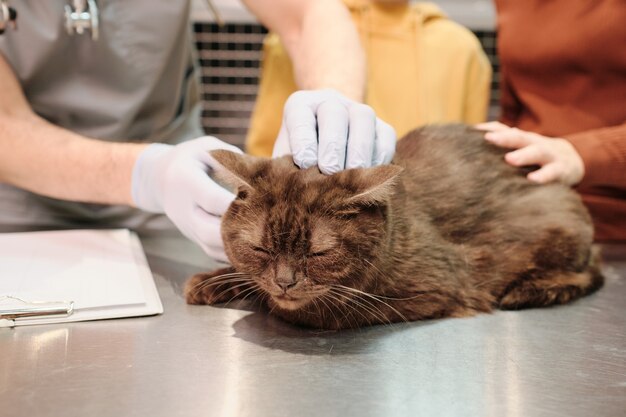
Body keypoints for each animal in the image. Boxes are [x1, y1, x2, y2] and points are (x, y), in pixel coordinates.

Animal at [183, 123, 604, 328]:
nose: (285, 282)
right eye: (260, 248)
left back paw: (529, 290)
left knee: (587, 274)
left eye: (319, 252)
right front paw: (212, 281)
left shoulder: (438, 286)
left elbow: (319, 313)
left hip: (557, 224)